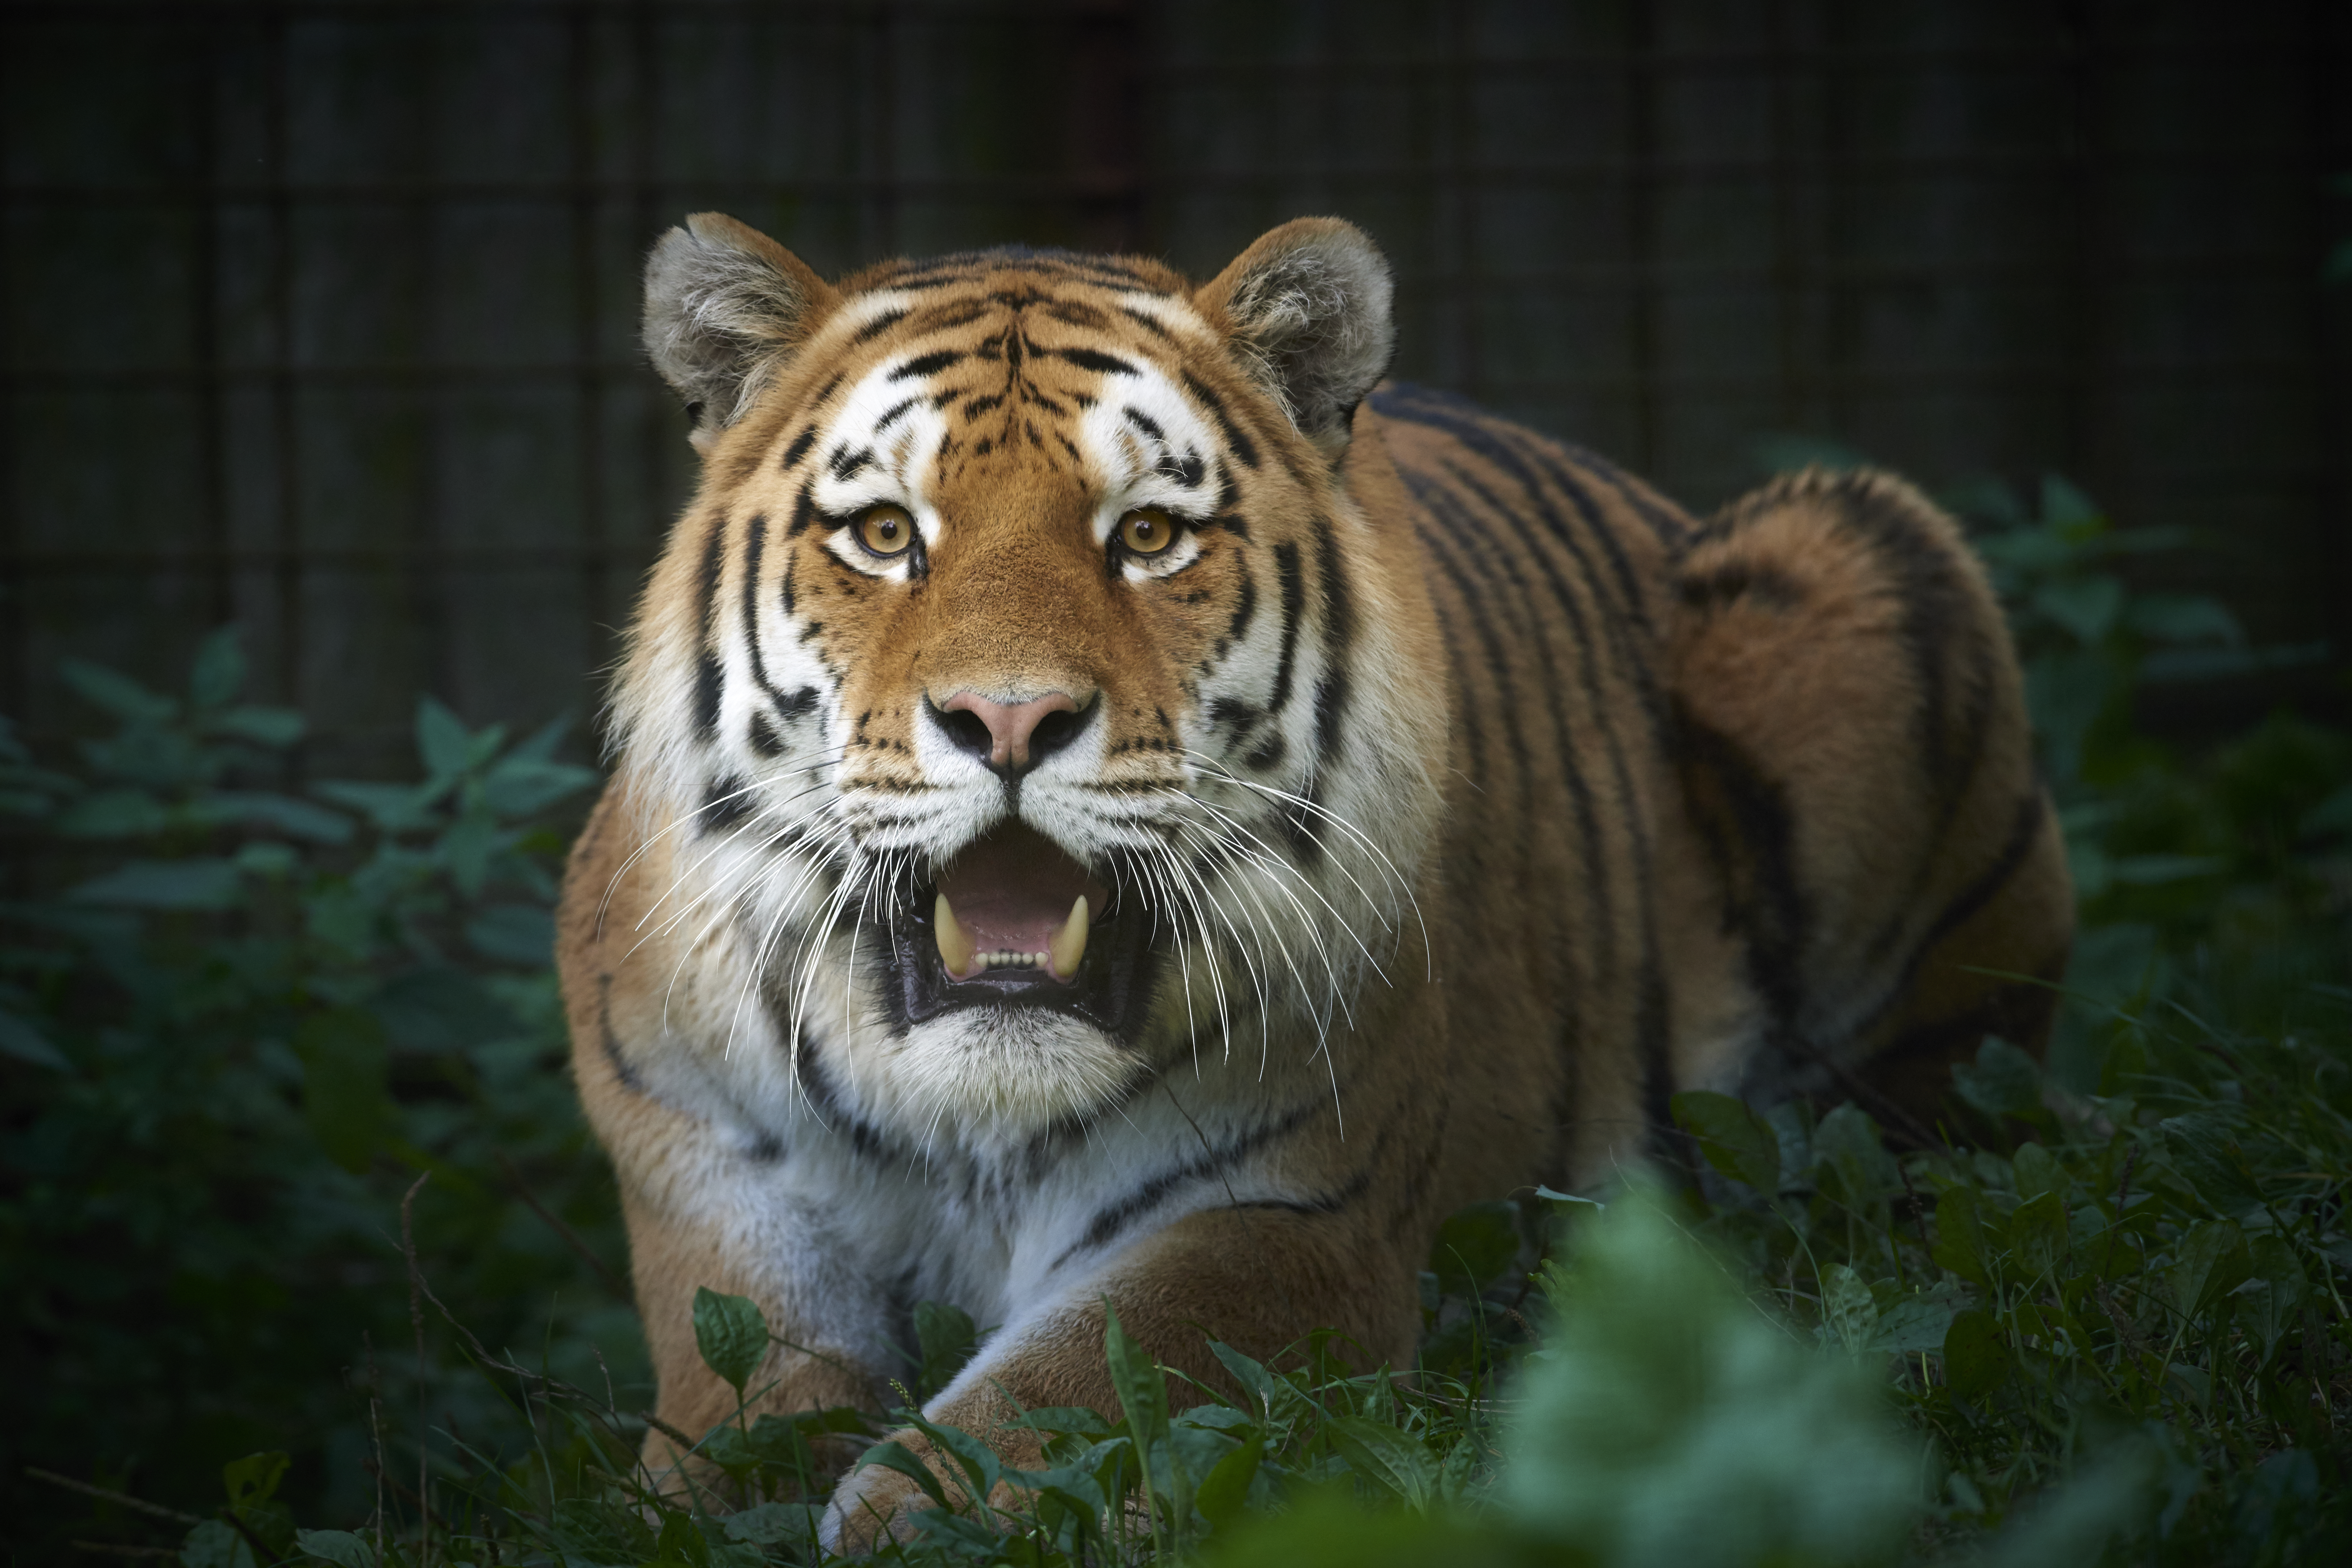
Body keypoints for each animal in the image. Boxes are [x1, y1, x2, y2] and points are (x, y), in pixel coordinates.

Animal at [555, 211, 2073, 1550]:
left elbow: (1077, 1385)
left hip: (1863, 552)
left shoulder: (1289, 1215)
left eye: (1148, 536)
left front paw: (919, 1513)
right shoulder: (718, 1201)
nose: (1008, 717)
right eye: (883, 534)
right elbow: (730, 1429)